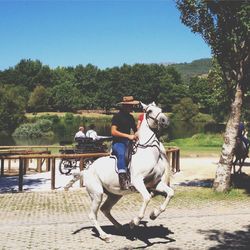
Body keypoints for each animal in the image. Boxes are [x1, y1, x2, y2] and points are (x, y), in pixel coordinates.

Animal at [64, 102, 174, 242]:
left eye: (160, 109)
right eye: (149, 111)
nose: (165, 120)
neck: (148, 152)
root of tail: (86, 171)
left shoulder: (155, 183)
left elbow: (170, 193)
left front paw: (154, 214)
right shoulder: (138, 181)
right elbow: (147, 198)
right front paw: (134, 221)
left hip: (114, 195)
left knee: (105, 209)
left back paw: (121, 227)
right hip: (97, 194)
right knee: (92, 215)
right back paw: (105, 236)